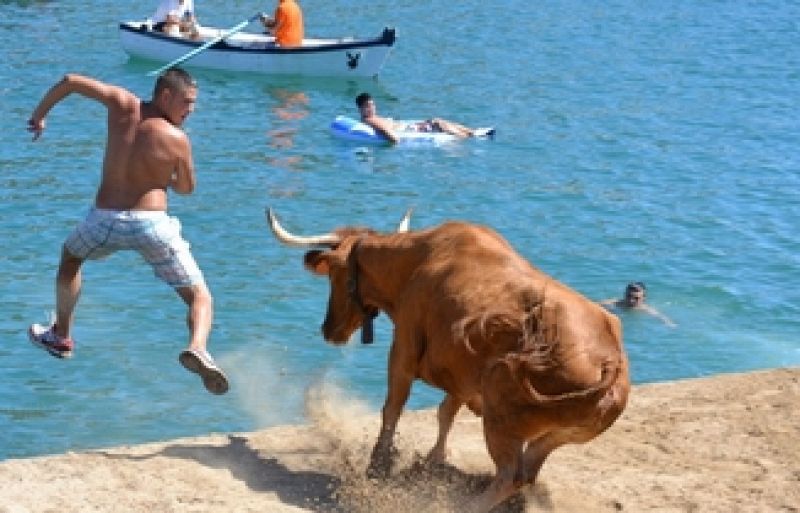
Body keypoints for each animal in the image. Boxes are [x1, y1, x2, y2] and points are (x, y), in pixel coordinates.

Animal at [268, 208, 632, 512]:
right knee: (527, 471)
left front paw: (378, 467)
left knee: (510, 474)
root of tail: (609, 361)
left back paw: (466, 505)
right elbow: (446, 412)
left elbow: (392, 409)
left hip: (501, 419)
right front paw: (432, 461)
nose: (329, 329)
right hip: (558, 433)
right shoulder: (461, 375)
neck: (417, 261)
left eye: (334, 275)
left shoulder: (403, 352)